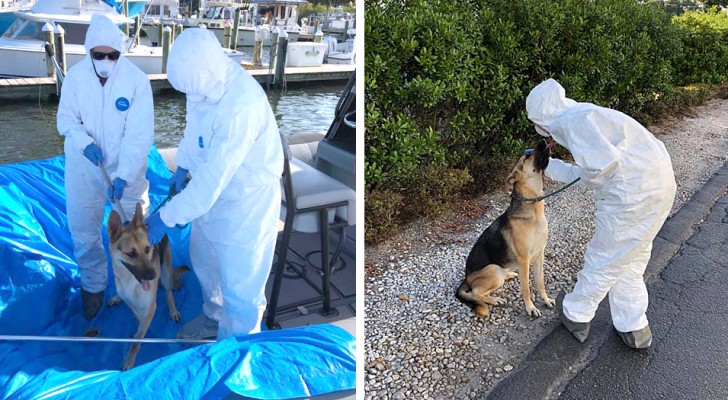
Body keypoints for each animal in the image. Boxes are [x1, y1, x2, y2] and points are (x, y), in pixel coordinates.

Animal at [107, 205, 189, 370]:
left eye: (147, 249)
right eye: (131, 254)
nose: (153, 275)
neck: (129, 280)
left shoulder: (151, 306)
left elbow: (139, 336)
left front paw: (130, 358)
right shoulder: (131, 304)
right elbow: (139, 322)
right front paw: (143, 332)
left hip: (165, 271)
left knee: (169, 293)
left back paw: (173, 310)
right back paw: (116, 298)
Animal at [458, 141, 556, 318]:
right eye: (527, 156)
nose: (544, 141)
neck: (533, 208)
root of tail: (466, 277)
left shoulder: (539, 255)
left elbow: (540, 283)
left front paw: (545, 300)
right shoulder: (525, 260)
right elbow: (526, 288)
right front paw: (530, 308)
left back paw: (509, 275)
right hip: (494, 270)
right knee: (475, 293)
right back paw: (494, 299)